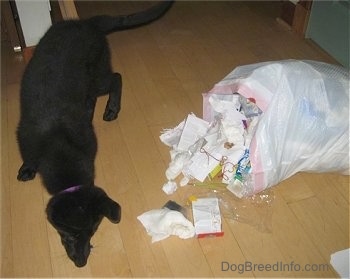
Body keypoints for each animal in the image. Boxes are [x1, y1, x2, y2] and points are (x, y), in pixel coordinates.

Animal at [17, 1, 173, 268]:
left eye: (92, 231)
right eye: (68, 235)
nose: (81, 263)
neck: (58, 147)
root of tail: (87, 23)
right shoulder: (24, 136)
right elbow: (28, 157)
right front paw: (27, 169)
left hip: (97, 74)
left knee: (116, 78)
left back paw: (112, 108)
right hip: (91, 79)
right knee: (103, 87)